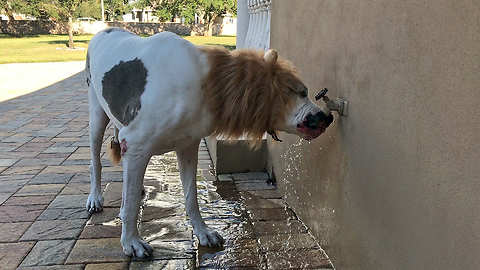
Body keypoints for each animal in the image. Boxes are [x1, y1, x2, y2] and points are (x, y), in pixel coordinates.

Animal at [85, 27, 334, 258]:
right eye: (302, 92)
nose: (328, 117)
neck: (207, 85)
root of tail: (104, 31)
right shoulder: (137, 144)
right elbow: (130, 206)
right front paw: (131, 242)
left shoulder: (187, 147)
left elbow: (191, 196)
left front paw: (202, 232)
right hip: (96, 116)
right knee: (95, 162)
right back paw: (95, 198)